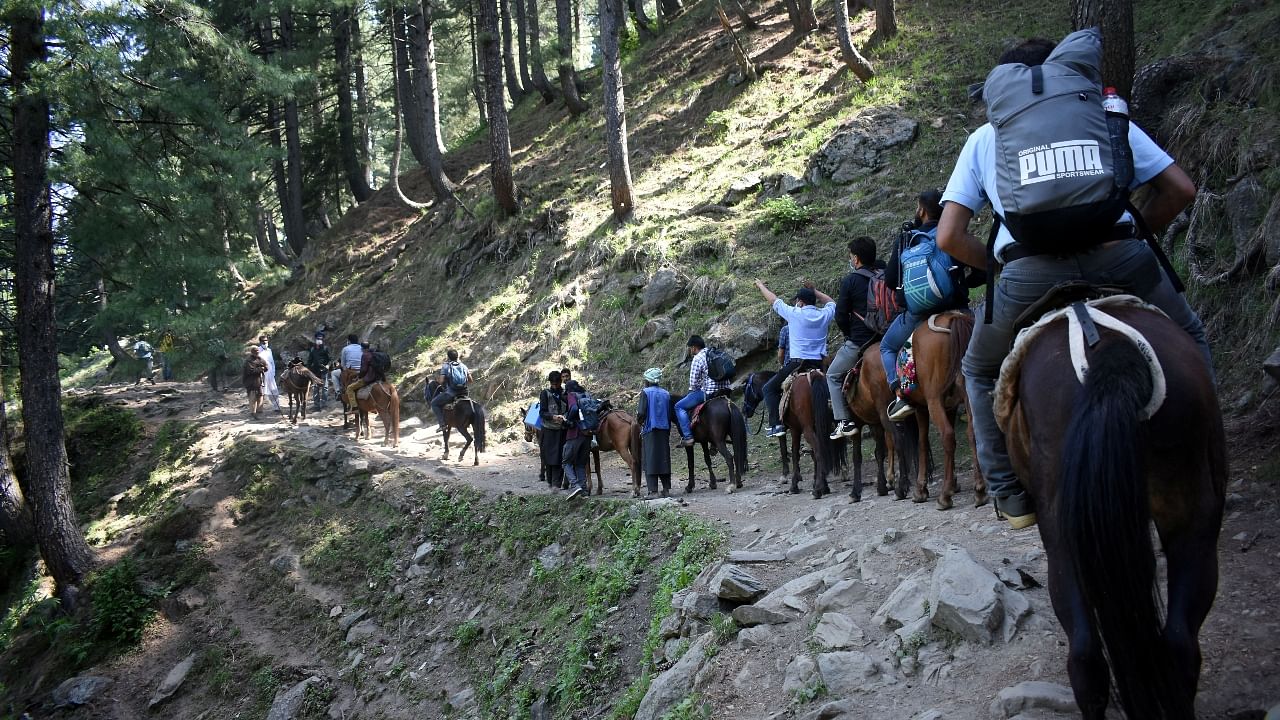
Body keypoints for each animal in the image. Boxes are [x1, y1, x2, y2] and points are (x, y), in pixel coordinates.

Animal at [896, 311, 983, 507]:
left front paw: (921, 489)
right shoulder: (950, 406)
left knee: (947, 436)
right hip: (967, 393)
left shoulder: (921, 408)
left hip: (933, 400)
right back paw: (980, 491)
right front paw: (953, 483)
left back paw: (945, 497)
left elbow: (922, 443)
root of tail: (952, 318)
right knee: (972, 432)